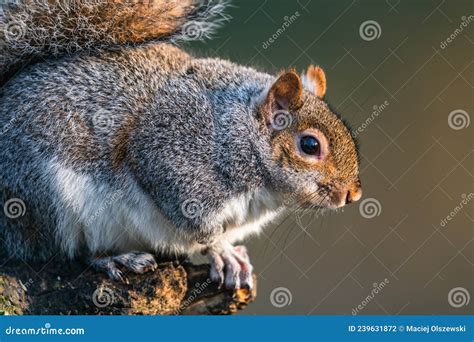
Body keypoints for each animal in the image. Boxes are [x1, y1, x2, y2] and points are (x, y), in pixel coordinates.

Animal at [0, 0, 362, 290]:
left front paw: (236, 256)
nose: (352, 194)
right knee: (63, 252)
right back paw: (114, 259)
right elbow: (195, 224)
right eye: (310, 145)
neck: (240, 133)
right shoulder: (175, 157)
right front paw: (221, 251)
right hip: (43, 197)